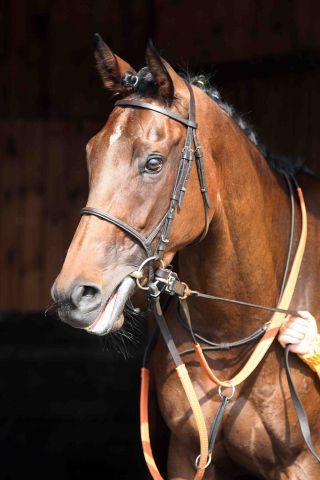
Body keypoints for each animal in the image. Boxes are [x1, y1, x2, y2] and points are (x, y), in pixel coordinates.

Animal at [51, 35, 318, 478]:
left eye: (153, 162)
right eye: (91, 155)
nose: (73, 295)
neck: (234, 332)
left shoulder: (301, 463)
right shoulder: (187, 452)